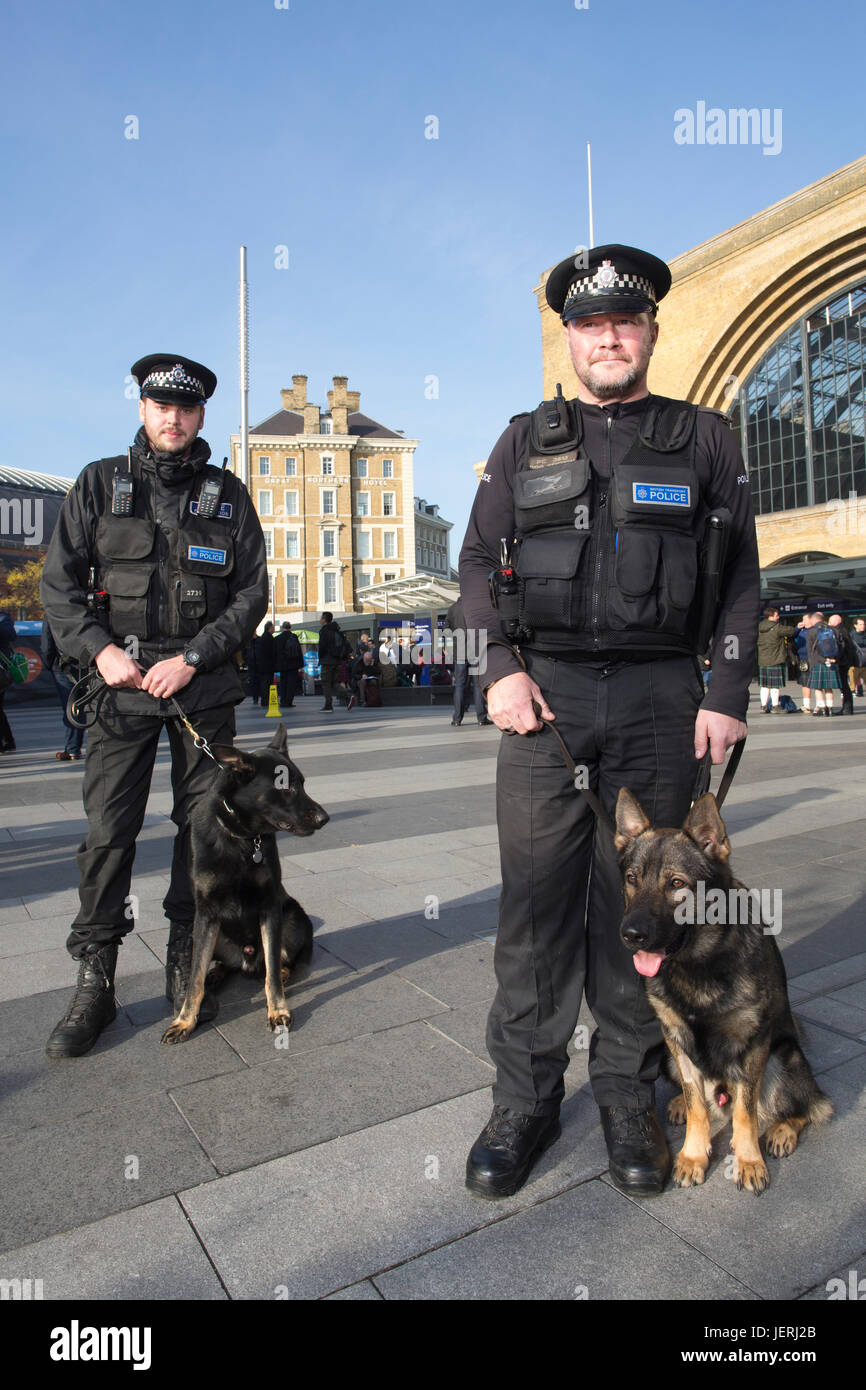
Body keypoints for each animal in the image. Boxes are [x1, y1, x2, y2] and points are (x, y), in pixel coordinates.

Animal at [159, 728, 328, 1045]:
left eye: (302, 784)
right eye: (286, 787)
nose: (325, 818)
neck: (240, 837)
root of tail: (248, 958)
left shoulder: (270, 908)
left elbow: (271, 972)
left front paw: (277, 1010)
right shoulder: (206, 914)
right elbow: (194, 978)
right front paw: (185, 1020)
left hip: (293, 918)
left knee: (280, 962)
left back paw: (281, 974)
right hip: (212, 933)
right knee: (219, 964)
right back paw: (216, 974)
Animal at [614, 795, 828, 1195]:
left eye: (676, 884)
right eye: (632, 879)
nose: (630, 935)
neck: (699, 963)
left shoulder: (754, 1045)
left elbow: (746, 1113)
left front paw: (748, 1160)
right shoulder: (676, 1039)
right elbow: (697, 1105)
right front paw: (694, 1155)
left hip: (782, 1061)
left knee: (810, 1107)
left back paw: (782, 1131)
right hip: (668, 1058)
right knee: (702, 1098)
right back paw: (680, 1104)